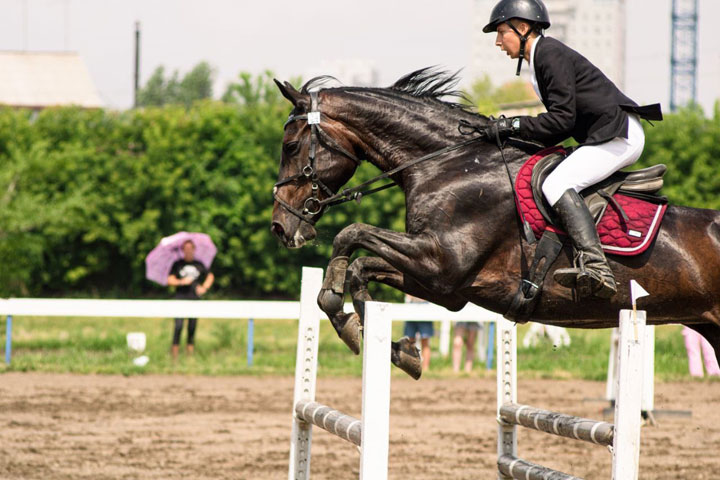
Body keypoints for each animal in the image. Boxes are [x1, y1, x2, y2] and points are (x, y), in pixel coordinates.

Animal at [268, 69, 720, 380]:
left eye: (291, 146)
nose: (280, 228)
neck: (448, 164)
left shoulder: (442, 265)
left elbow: (352, 235)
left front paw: (343, 316)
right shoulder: (444, 286)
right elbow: (360, 269)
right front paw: (394, 348)